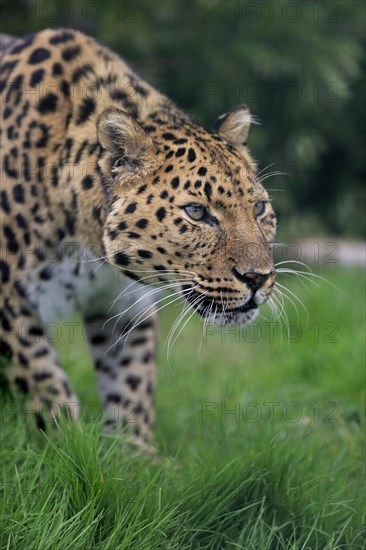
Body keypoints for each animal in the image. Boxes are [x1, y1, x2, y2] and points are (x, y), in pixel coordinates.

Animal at [0, 28, 274, 452]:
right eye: (197, 213)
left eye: (259, 208)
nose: (258, 278)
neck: (90, 250)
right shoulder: (8, 300)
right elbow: (44, 382)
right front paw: (66, 446)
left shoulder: (126, 306)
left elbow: (131, 382)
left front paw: (133, 456)